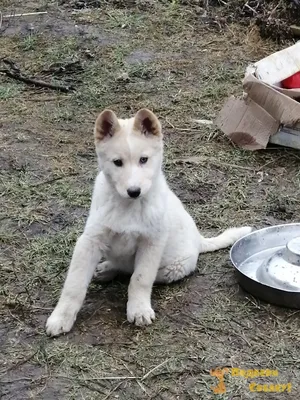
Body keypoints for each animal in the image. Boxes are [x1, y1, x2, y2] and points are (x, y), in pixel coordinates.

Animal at [45, 108, 252, 336]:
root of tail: (199, 240)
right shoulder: (90, 240)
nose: (134, 191)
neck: (128, 206)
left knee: (133, 272)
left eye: (144, 159)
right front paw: (61, 317)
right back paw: (106, 268)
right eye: (117, 162)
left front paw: (138, 310)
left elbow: (140, 279)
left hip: (173, 268)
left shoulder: (151, 242)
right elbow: (74, 284)